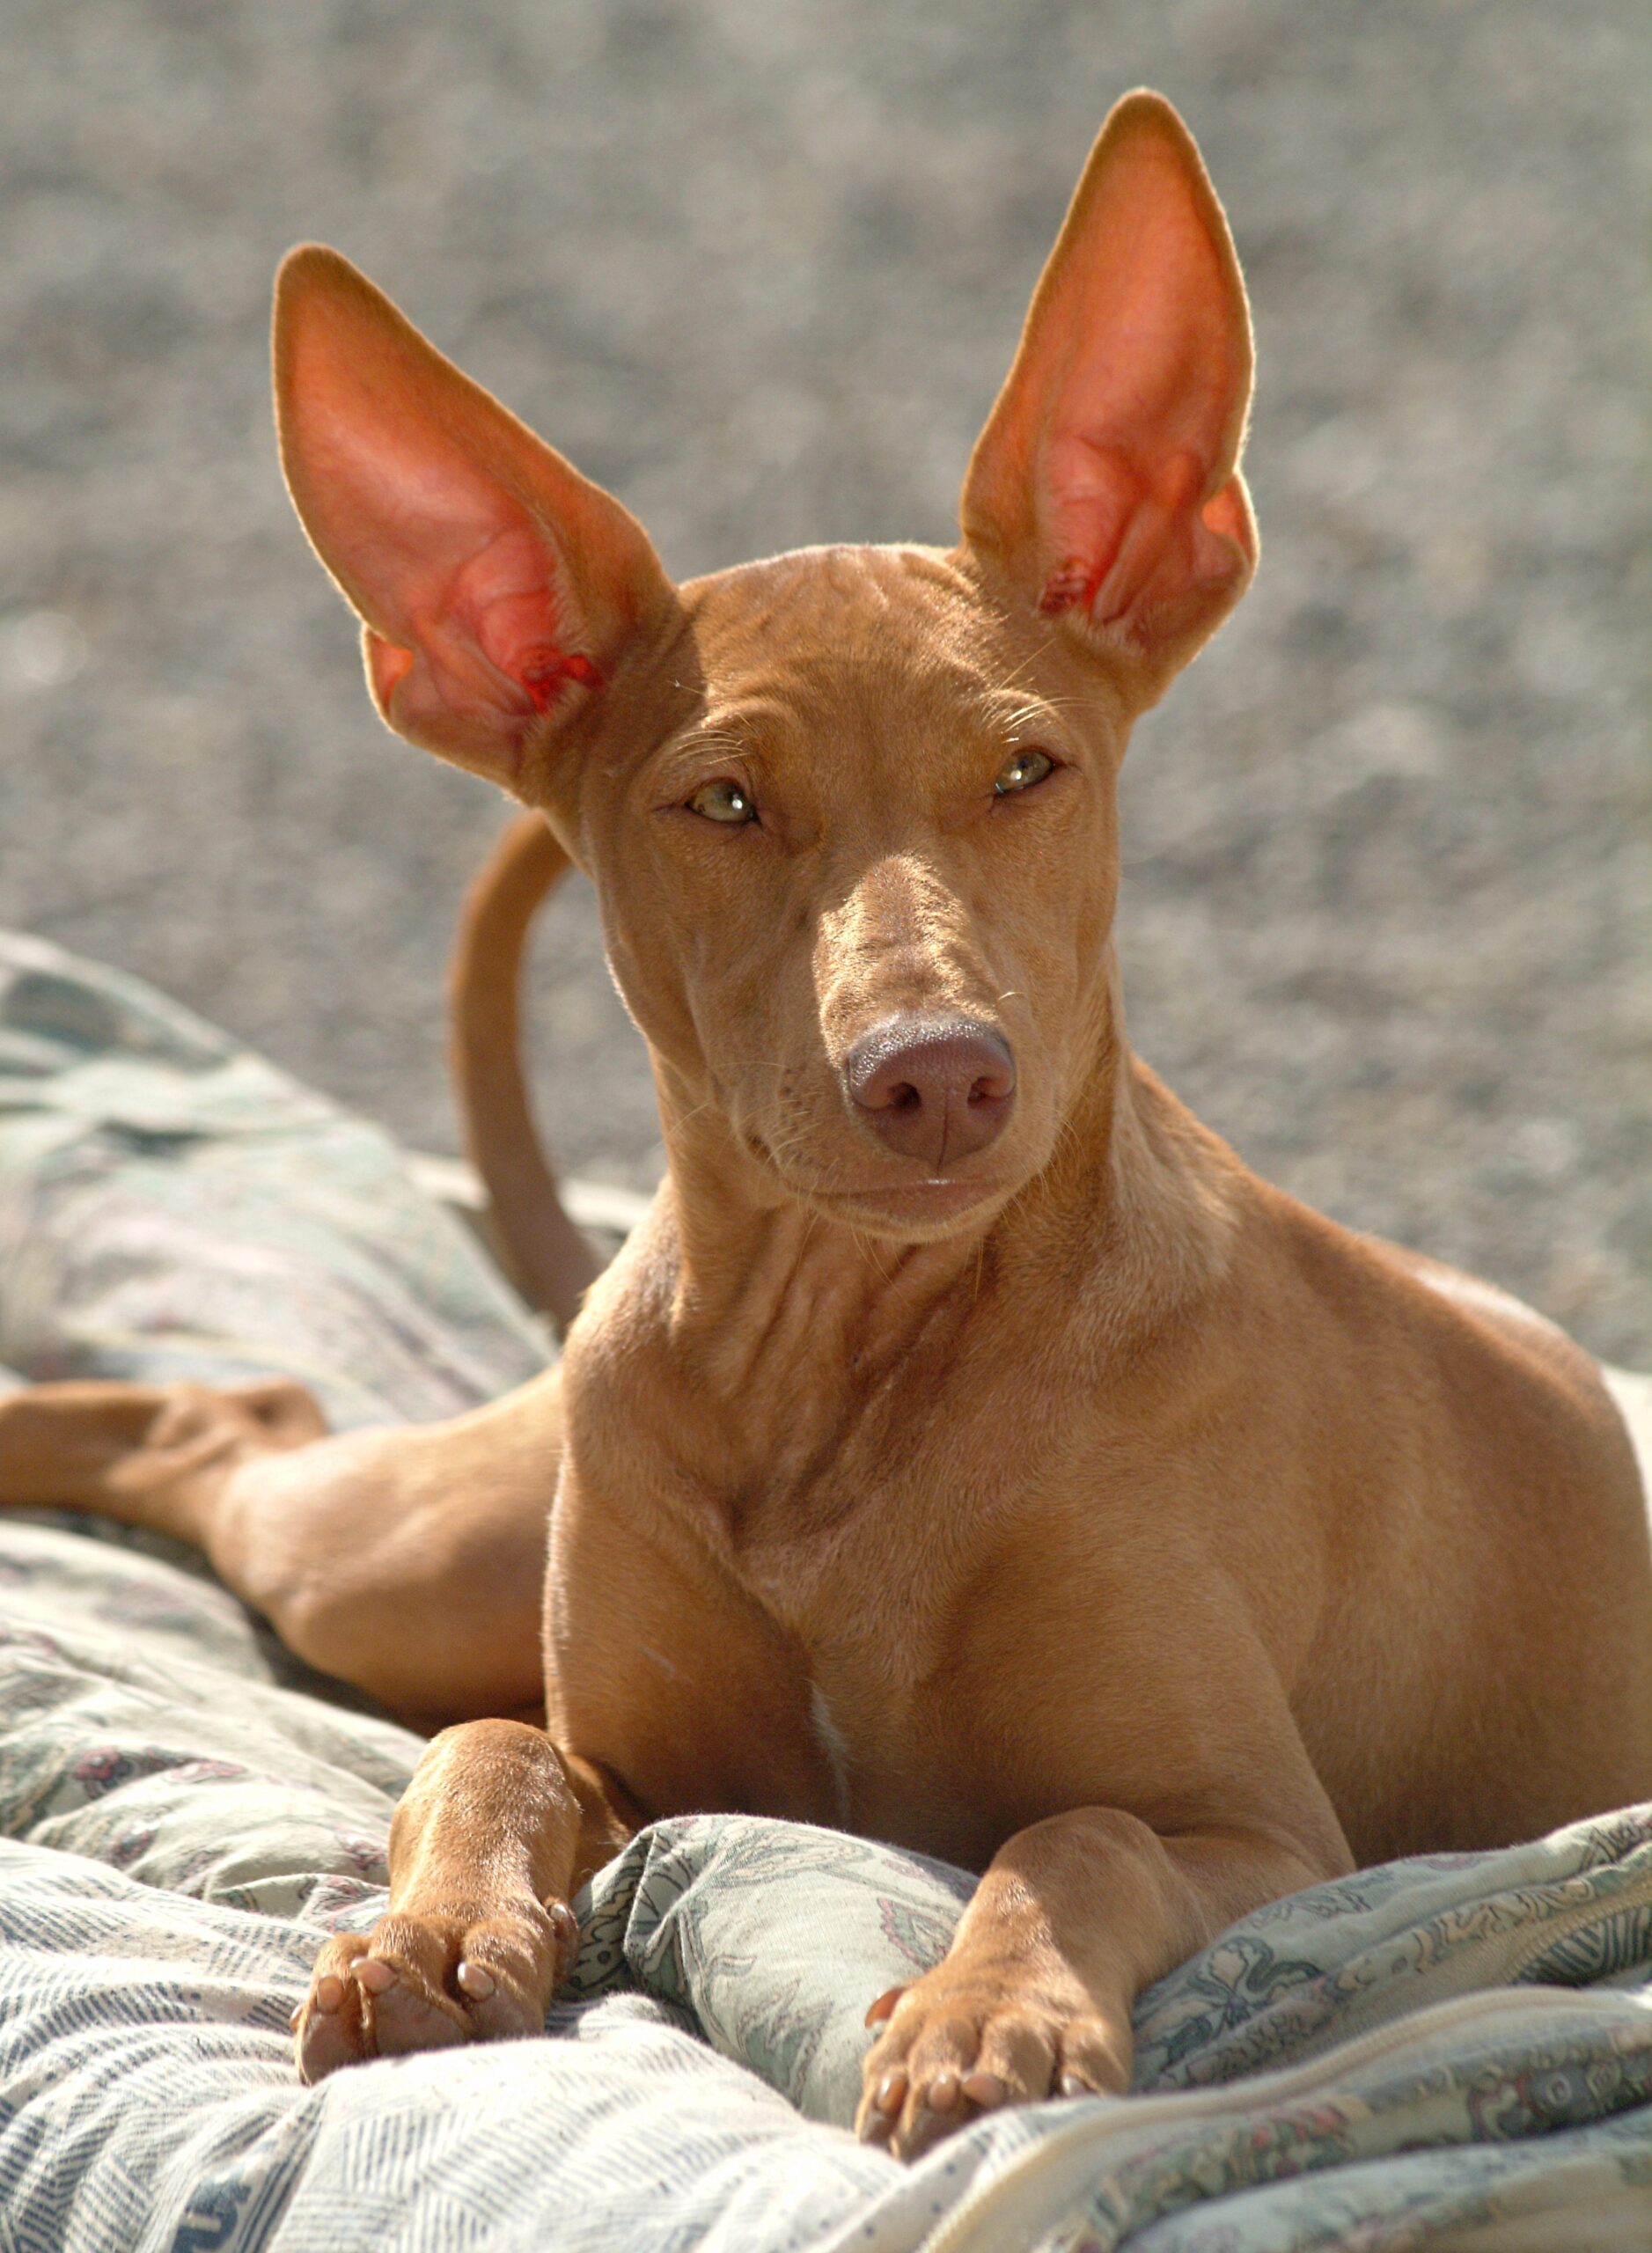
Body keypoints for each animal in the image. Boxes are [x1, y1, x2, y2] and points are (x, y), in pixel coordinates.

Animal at [3, 92, 1649, 2162]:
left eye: (1026, 767)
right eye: (719, 801)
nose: (936, 1070)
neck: (840, 1363)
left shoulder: (1265, 1832)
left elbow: (1072, 1831)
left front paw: (984, 2010)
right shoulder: (642, 1769)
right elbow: (495, 1752)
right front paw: (432, 1930)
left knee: (253, 1414)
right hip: (408, 1560)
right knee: (242, 1426)